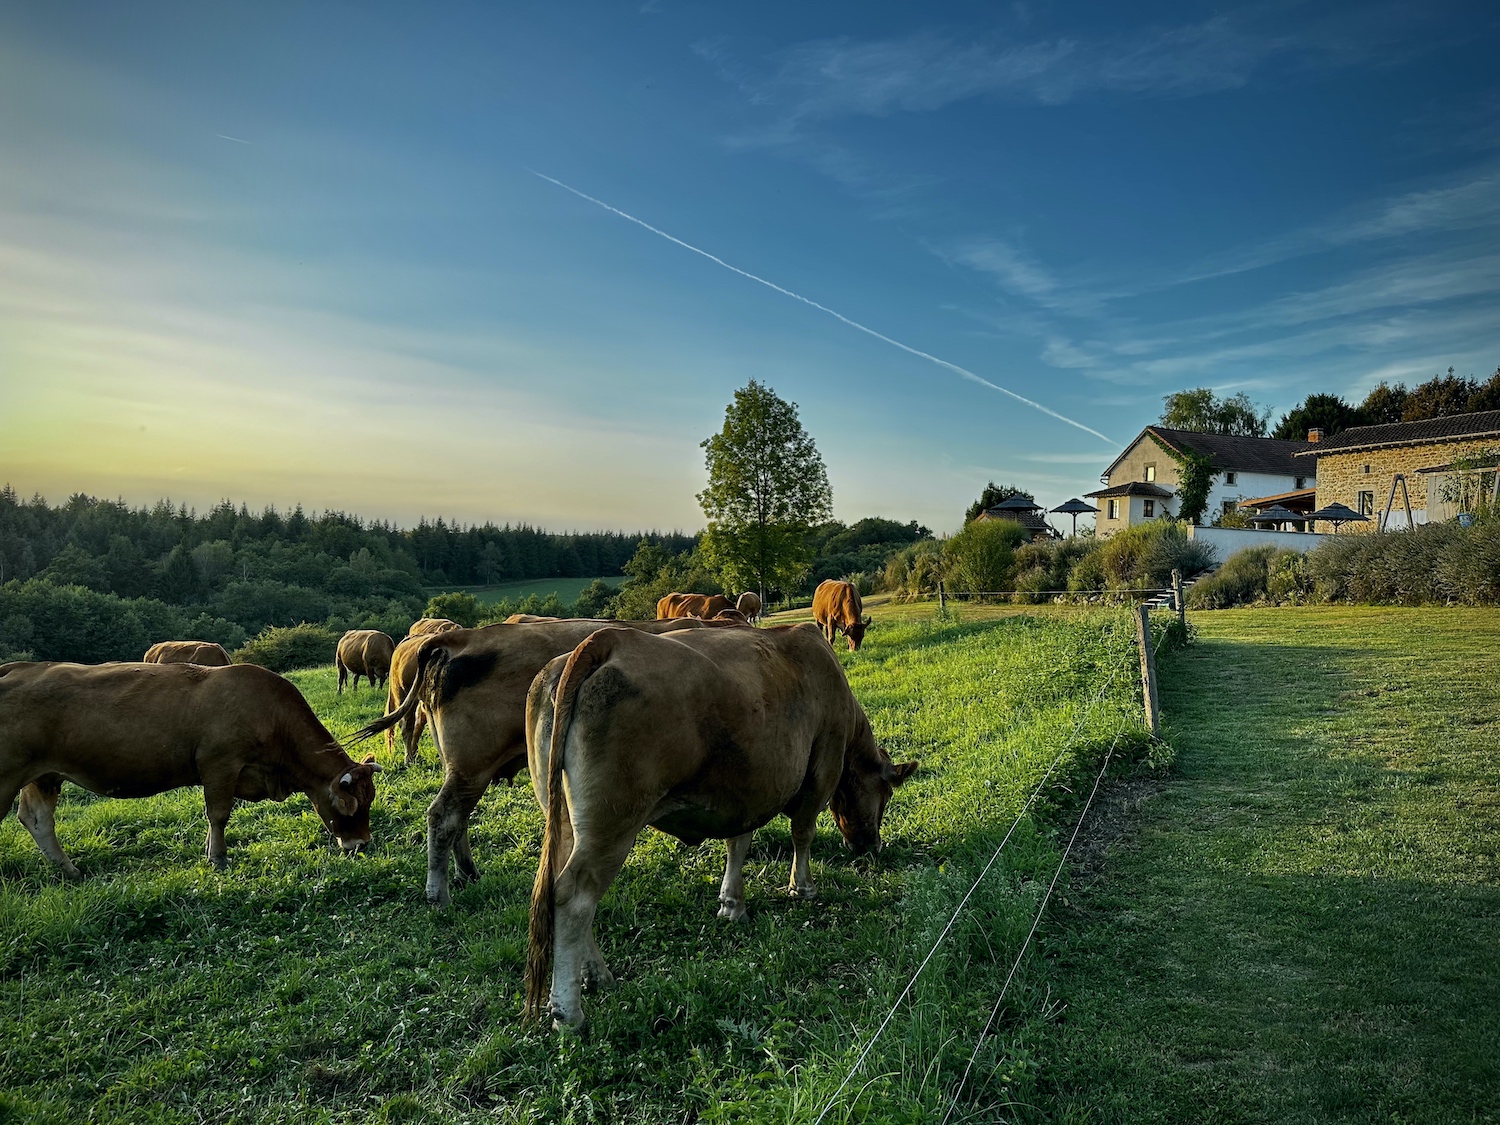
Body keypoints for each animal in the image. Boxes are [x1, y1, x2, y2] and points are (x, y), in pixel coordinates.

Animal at [0, 660, 381, 882]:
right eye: (350, 806)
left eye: (370, 801)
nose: (361, 844)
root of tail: (14, 667)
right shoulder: (220, 764)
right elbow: (219, 814)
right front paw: (218, 857)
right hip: (8, 776)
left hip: (43, 775)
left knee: (38, 820)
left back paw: (69, 870)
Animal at [360, 618, 717, 906]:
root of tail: (453, 640)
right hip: (470, 766)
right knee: (443, 816)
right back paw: (439, 893)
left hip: (462, 770)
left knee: (458, 819)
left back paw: (468, 873)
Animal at [522, 627, 918, 1032]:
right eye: (886, 794)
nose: (872, 846)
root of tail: (606, 639)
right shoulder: (823, 767)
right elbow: (802, 832)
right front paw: (802, 887)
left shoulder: (747, 790)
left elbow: (737, 843)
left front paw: (732, 904)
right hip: (612, 822)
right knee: (574, 897)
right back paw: (568, 1012)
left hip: (565, 819)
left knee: (560, 886)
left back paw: (595, 974)